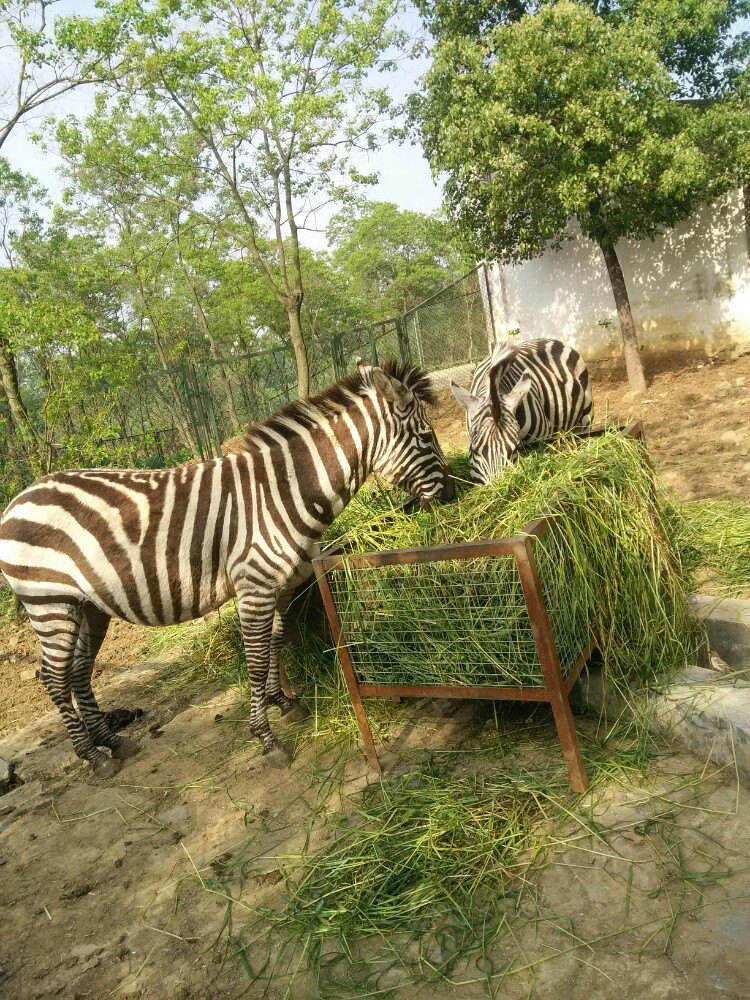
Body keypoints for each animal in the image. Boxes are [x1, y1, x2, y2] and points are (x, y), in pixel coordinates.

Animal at [0, 360, 456, 772]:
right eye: (426, 436)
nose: (452, 496)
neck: (287, 491)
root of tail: (21, 496)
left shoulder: (279, 584)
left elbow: (274, 642)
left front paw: (282, 701)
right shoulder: (254, 584)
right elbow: (254, 655)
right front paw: (267, 739)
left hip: (88, 605)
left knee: (78, 671)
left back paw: (112, 741)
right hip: (49, 601)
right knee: (53, 677)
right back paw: (92, 757)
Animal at [452, 338, 592, 482]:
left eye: (516, 449)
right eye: (474, 451)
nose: (499, 486)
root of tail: (549, 339)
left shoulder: (543, 441)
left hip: (585, 417)